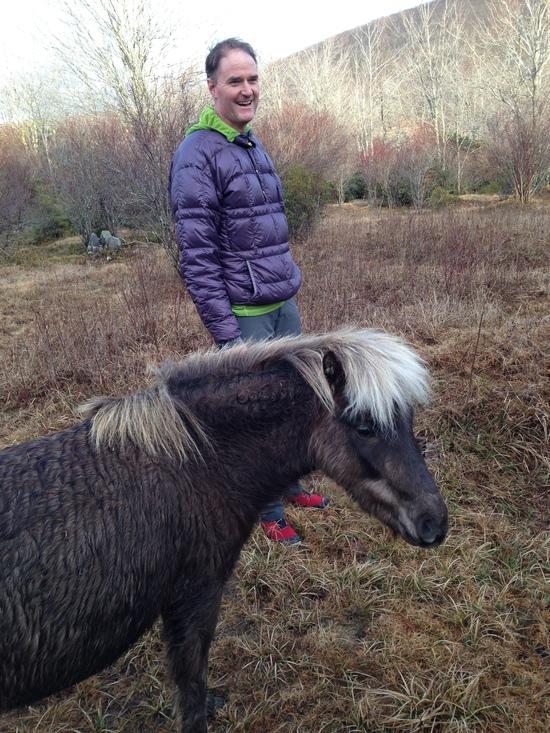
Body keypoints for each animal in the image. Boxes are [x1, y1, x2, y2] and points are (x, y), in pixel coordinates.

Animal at [0, 328, 448, 732]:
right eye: (364, 426)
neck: (197, 463)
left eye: (408, 421)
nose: (435, 523)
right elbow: (191, 687)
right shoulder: (194, 596)